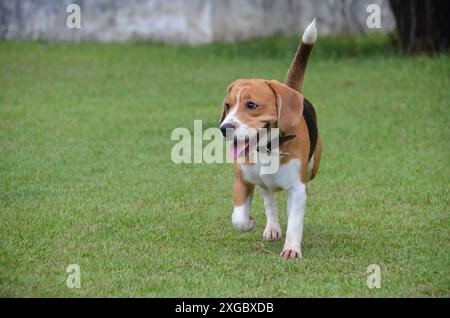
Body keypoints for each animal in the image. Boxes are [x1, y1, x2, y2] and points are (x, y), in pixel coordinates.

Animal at [219, 19, 322, 260]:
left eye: (252, 105)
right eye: (228, 105)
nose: (224, 129)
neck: (266, 148)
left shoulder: (298, 187)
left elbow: (295, 221)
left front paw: (292, 249)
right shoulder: (242, 180)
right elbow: (238, 218)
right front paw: (249, 222)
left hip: (312, 169)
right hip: (262, 183)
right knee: (269, 198)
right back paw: (272, 227)